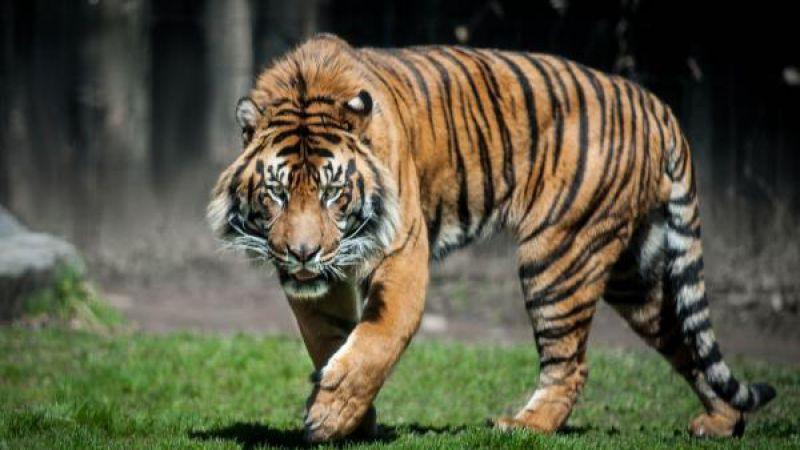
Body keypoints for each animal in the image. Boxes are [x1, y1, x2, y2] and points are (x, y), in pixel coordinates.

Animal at [207, 33, 775, 442]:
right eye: (277, 193)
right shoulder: (320, 284)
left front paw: (332, 414)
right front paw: (346, 416)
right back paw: (721, 423)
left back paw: (524, 426)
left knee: (572, 365)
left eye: (333, 193)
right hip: (632, 272)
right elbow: (328, 339)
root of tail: (655, 105)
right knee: (685, 337)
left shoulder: (402, 252)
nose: (302, 253)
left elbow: (376, 340)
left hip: (559, 255)